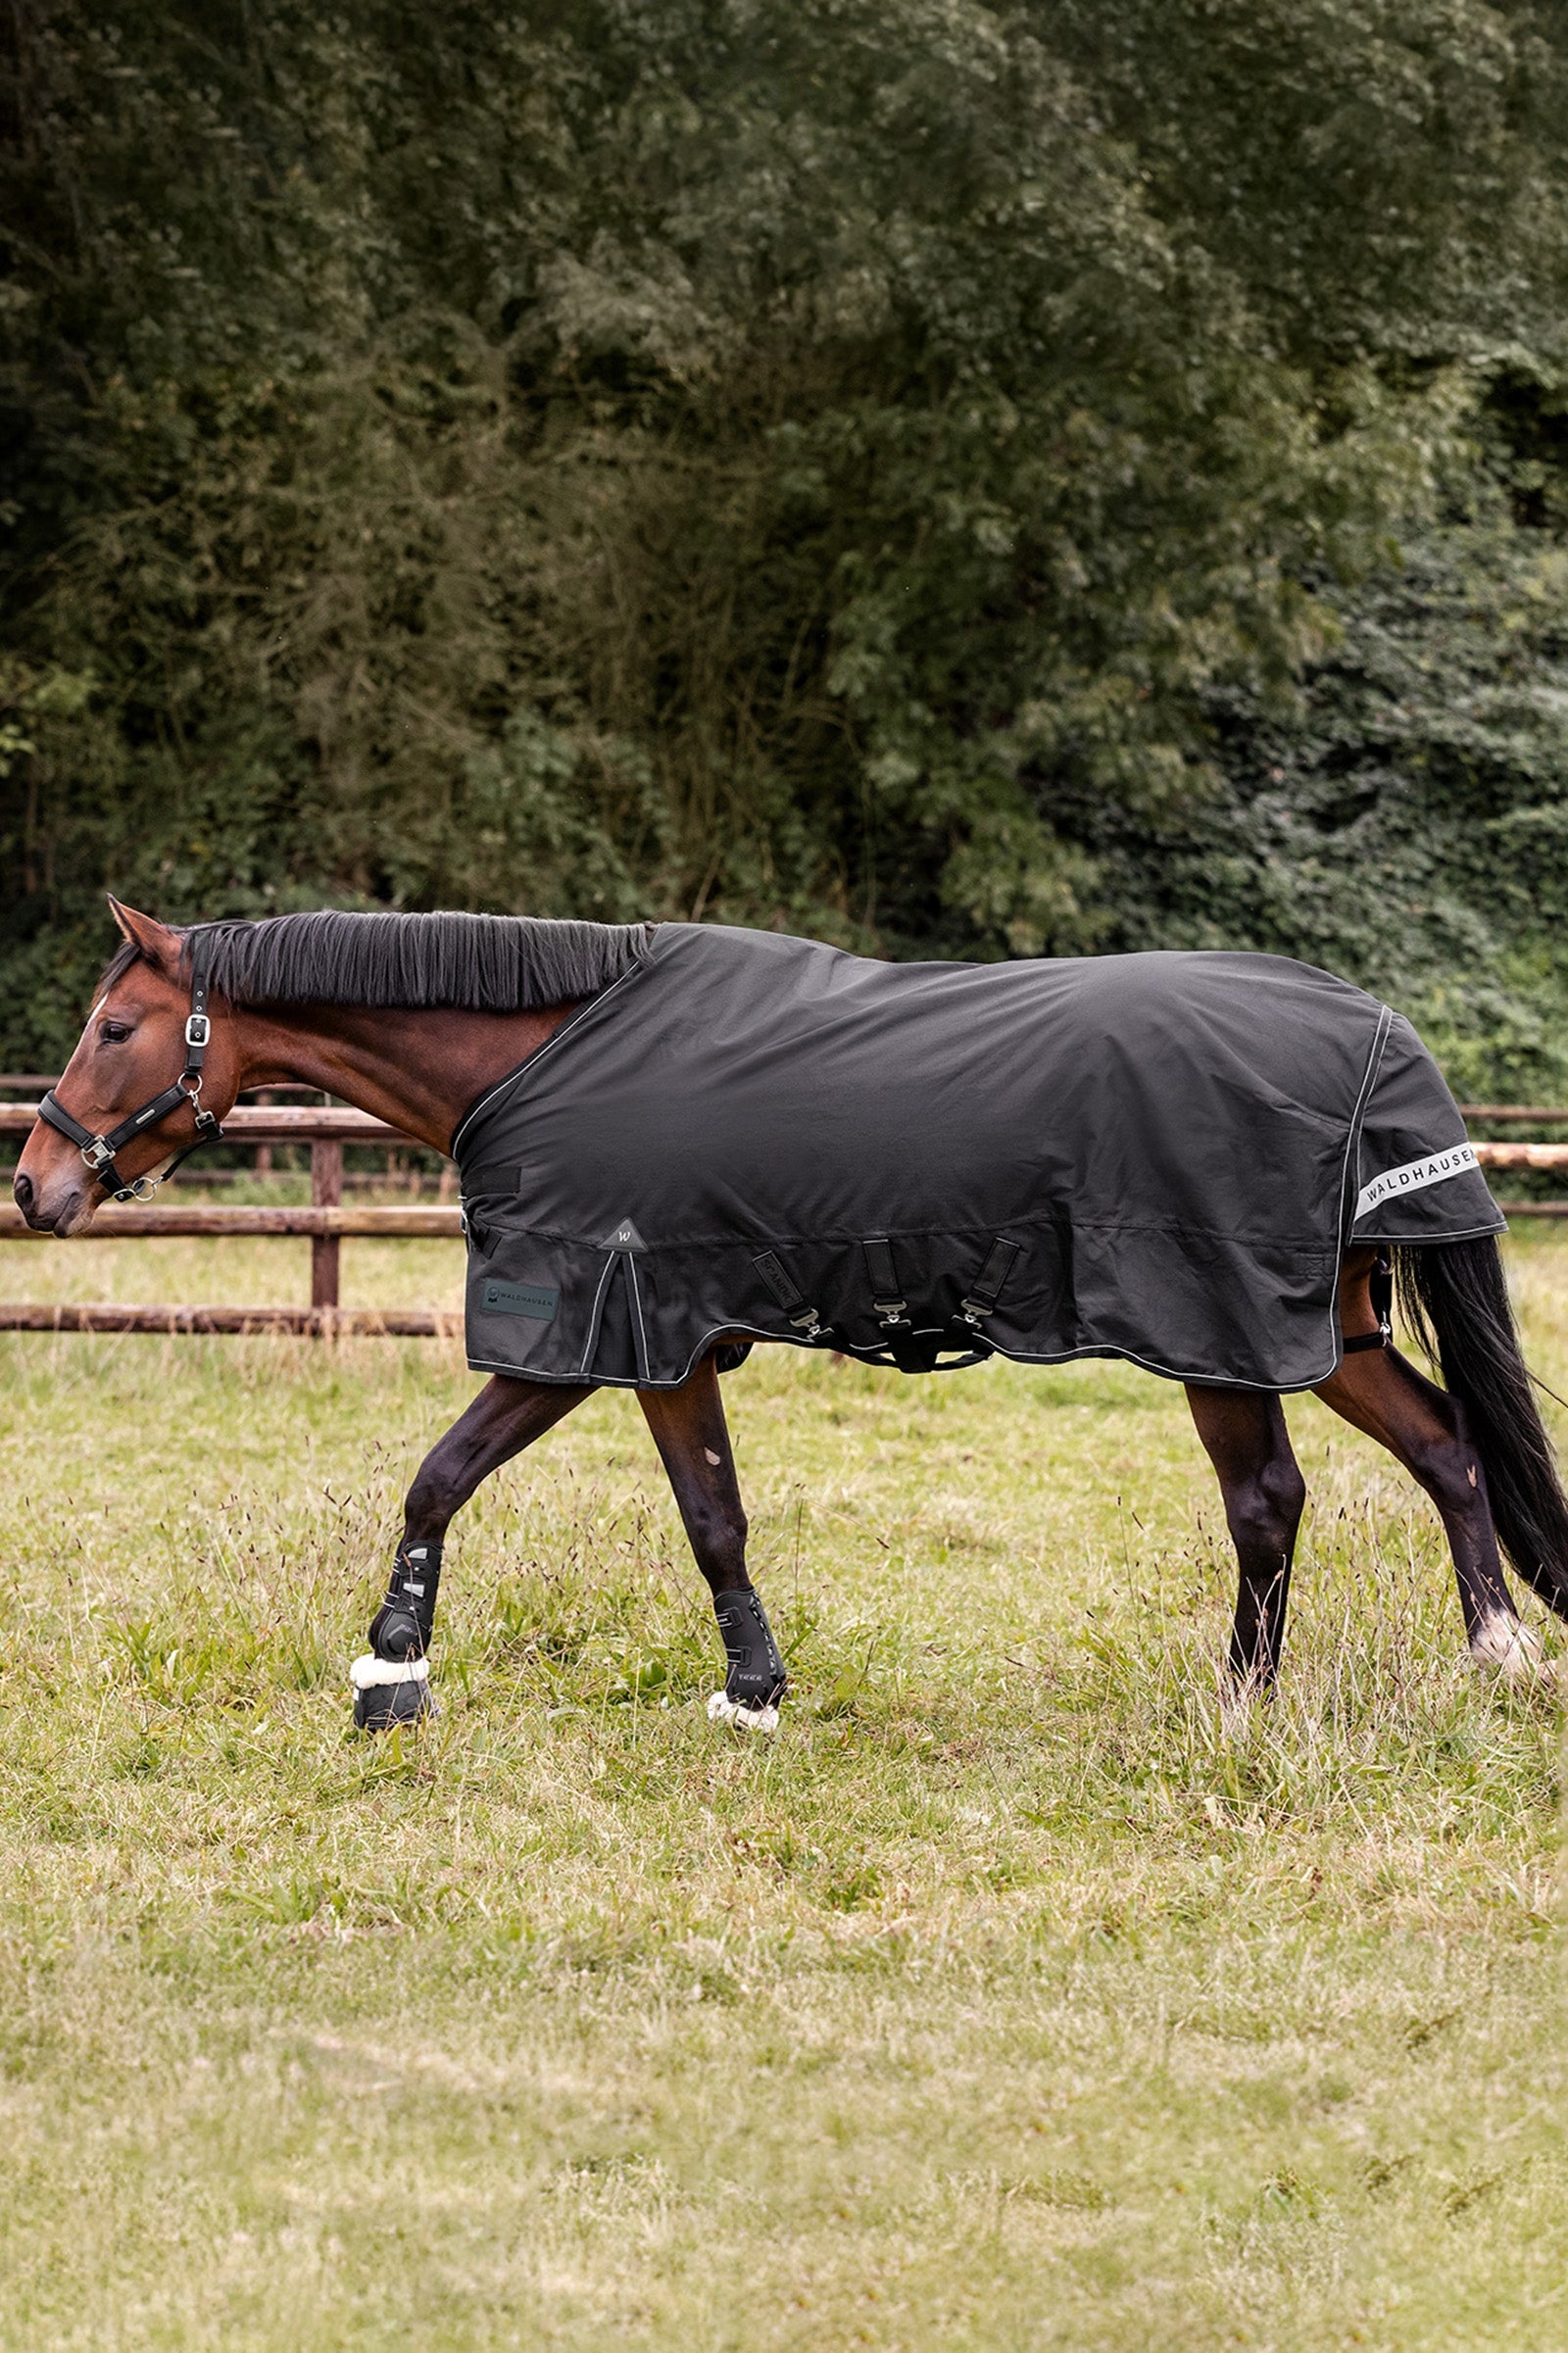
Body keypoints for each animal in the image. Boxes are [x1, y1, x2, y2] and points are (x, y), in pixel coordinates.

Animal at [13, 899, 1567, 1732]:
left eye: (111, 1029)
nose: (34, 1184)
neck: (548, 1053)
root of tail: (1371, 1029)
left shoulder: (594, 1332)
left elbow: (446, 1476)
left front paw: (391, 1671)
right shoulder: (664, 1342)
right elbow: (708, 1513)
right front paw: (753, 1688)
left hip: (1224, 1334)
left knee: (1267, 1501)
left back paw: (1242, 1702)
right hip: (1331, 1328)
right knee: (1445, 1446)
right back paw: (1497, 1653)